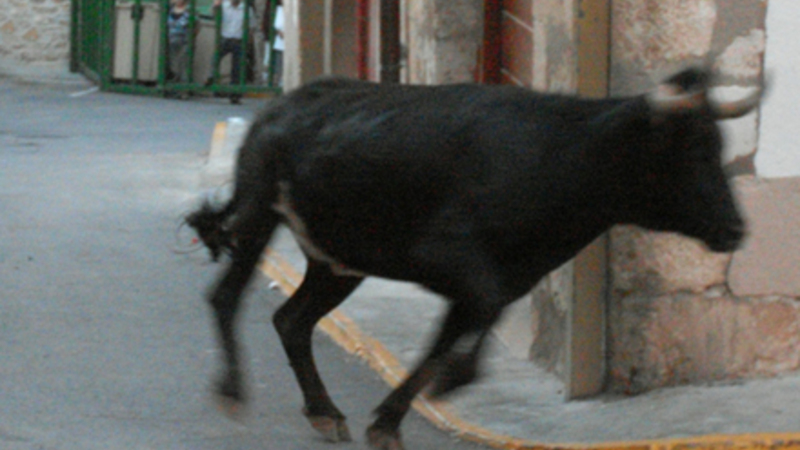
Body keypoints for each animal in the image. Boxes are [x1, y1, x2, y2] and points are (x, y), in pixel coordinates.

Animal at [186, 68, 763, 450]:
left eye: (719, 146)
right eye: (691, 151)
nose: (737, 229)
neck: (561, 154)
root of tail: (278, 107)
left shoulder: (500, 280)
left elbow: (447, 341)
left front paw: (389, 421)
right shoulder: (450, 260)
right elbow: (468, 327)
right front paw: (448, 383)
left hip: (339, 260)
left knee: (291, 320)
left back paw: (324, 412)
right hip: (259, 218)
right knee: (226, 297)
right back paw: (232, 390)